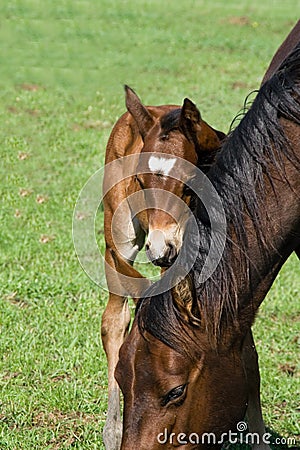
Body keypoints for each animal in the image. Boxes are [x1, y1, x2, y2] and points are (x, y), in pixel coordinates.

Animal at [101, 85, 225, 450]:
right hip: (120, 237)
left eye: (189, 183)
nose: (160, 248)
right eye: (141, 182)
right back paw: (113, 430)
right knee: (113, 320)